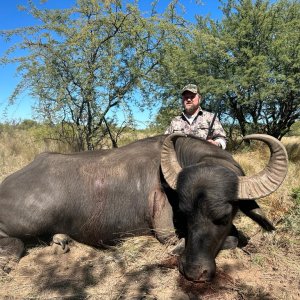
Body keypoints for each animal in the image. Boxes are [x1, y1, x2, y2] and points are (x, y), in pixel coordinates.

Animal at [0, 134, 288, 282]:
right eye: (184, 213)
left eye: (225, 216)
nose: (193, 272)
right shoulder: (167, 233)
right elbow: (234, 239)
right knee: (15, 242)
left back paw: (60, 240)